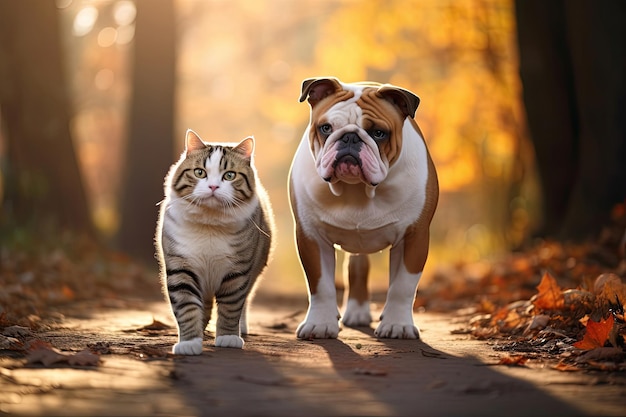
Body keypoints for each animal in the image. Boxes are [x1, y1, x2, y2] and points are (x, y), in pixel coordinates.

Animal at [154, 128, 272, 352]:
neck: (209, 222)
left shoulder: (238, 271)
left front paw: (228, 337)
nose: (213, 186)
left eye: (229, 175)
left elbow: (231, 306)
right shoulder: (181, 267)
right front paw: (190, 342)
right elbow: (187, 307)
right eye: (200, 172)